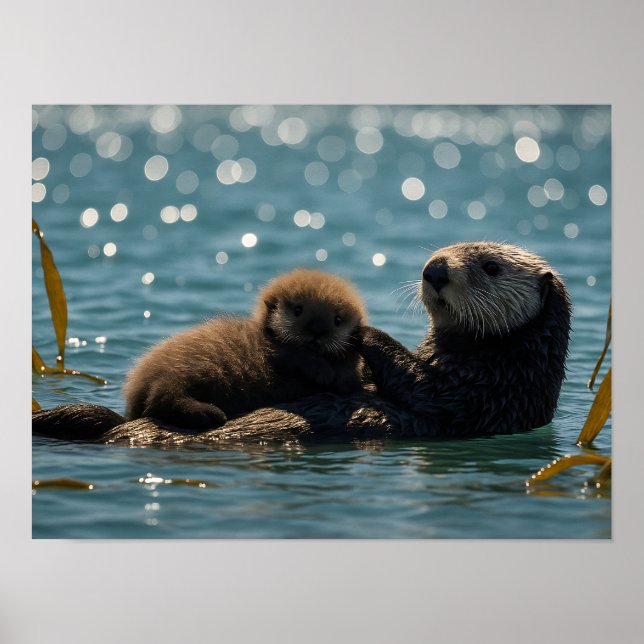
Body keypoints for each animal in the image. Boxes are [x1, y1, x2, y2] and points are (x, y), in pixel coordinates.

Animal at [121, 269, 367, 430]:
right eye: (298, 310)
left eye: (337, 320)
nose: (317, 330)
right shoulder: (278, 351)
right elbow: (299, 357)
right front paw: (324, 372)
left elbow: (348, 376)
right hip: (184, 370)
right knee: (162, 398)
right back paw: (209, 413)